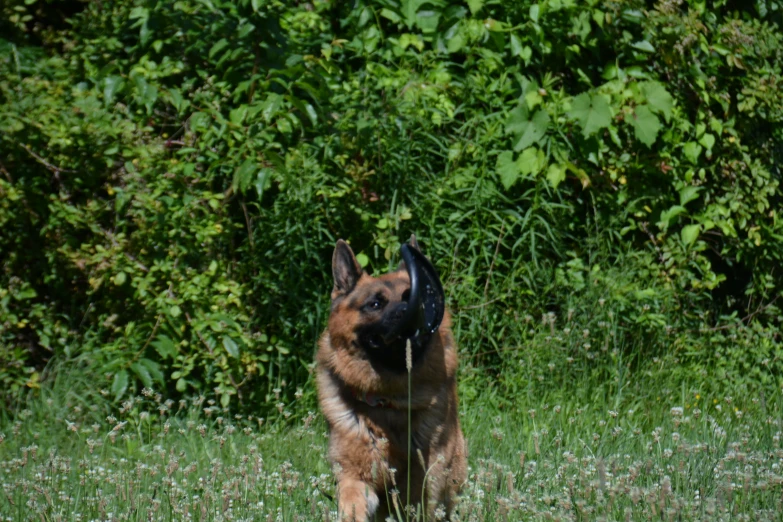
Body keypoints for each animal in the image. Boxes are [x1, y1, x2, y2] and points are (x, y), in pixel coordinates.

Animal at [316, 235, 468, 516]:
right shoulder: (354, 473)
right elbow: (351, 502)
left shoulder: (424, 478)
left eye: (413, 298)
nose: (409, 314)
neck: (387, 399)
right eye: (375, 304)